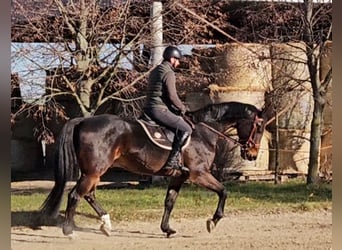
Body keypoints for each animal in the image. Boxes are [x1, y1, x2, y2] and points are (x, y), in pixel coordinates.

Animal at [39, 101, 270, 236]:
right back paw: (69, 230)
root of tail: (83, 121)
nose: (252, 155)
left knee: (88, 195)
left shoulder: (179, 177)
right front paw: (212, 222)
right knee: (75, 195)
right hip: (94, 171)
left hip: (94, 172)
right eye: (259, 126)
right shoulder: (200, 174)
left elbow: (169, 202)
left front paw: (167, 229)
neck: (203, 132)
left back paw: (106, 224)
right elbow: (224, 191)